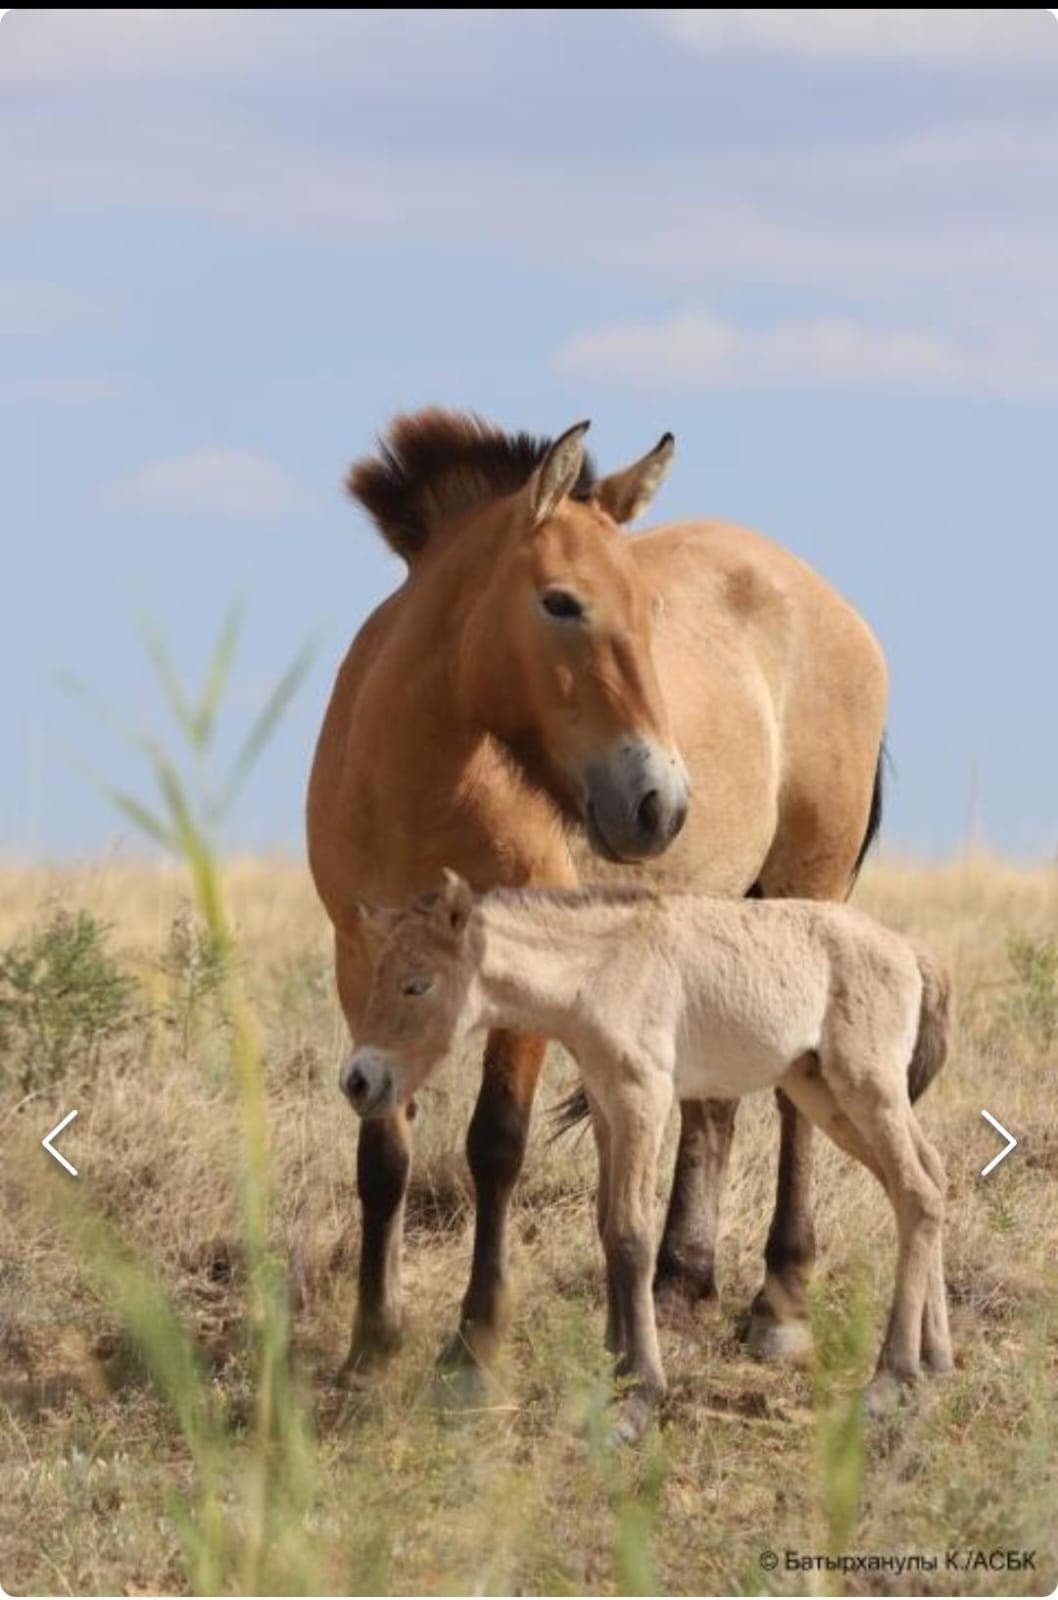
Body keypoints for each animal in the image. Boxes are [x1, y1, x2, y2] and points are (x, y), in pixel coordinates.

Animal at [306, 408, 887, 1378]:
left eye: (652, 611)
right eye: (561, 602)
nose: (659, 804)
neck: (415, 787)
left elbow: (496, 1142)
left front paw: (474, 1348)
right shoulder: (361, 964)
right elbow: (382, 1143)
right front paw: (371, 1349)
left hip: (811, 893)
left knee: (795, 1099)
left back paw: (779, 1305)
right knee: (713, 1104)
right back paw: (680, 1285)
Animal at [343, 871, 953, 1442]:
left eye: (417, 985)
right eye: (375, 978)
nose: (358, 1082)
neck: (600, 969)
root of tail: (909, 952)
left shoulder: (645, 1098)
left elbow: (632, 1235)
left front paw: (641, 1396)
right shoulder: (607, 1105)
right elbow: (606, 1226)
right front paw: (616, 1368)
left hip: (866, 1087)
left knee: (917, 1193)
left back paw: (891, 1378)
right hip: (825, 1095)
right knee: (928, 1180)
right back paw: (937, 1359)